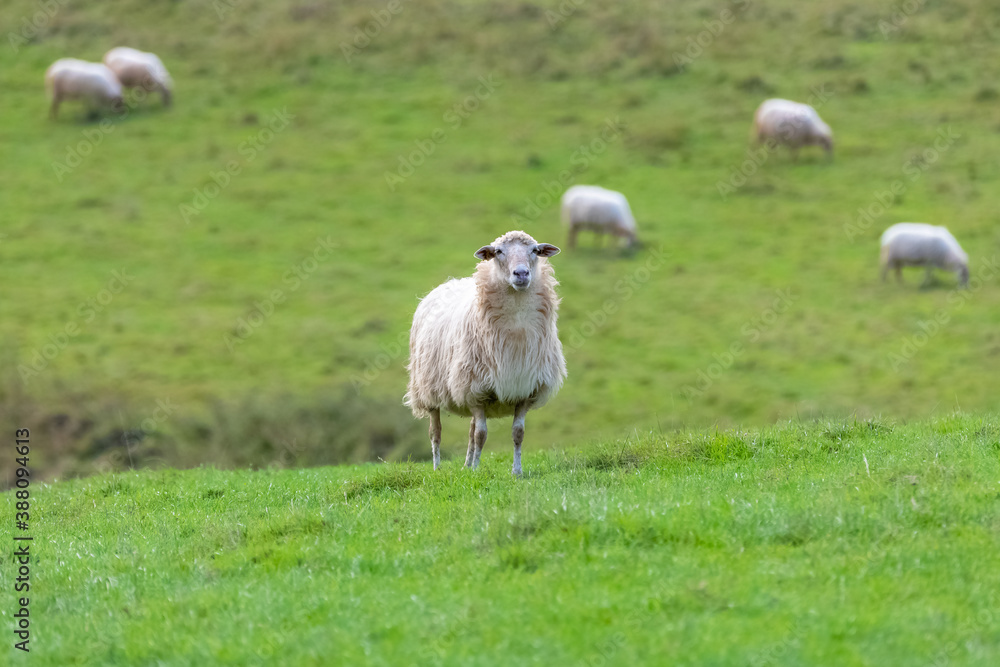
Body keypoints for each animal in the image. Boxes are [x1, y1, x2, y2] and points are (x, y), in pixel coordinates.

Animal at [405, 230, 567, 476]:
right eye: (498, 251)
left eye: (535, 250)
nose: (521, 273)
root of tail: (449, 282)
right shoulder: (475, 391)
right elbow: (481, 435)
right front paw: (476, 472)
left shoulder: (524, 389)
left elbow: (517, 434)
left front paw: (516, 472)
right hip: (428, 389)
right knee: (436, 432)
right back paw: (438, 467)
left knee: (471, 431)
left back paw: (466, 464)